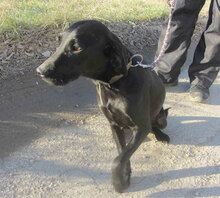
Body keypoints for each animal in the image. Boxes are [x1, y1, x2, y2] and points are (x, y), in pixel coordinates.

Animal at [36, 19, 170, 192]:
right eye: (58, 42)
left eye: (77, 48)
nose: (40, 71)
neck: (113, 85)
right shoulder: (114, 125)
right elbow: (122, 153)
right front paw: (125, 175)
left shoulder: (140, 127)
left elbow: (117, 160)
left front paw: (118, 183)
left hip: (160, 119)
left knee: (154, 125)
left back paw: (160, 135)